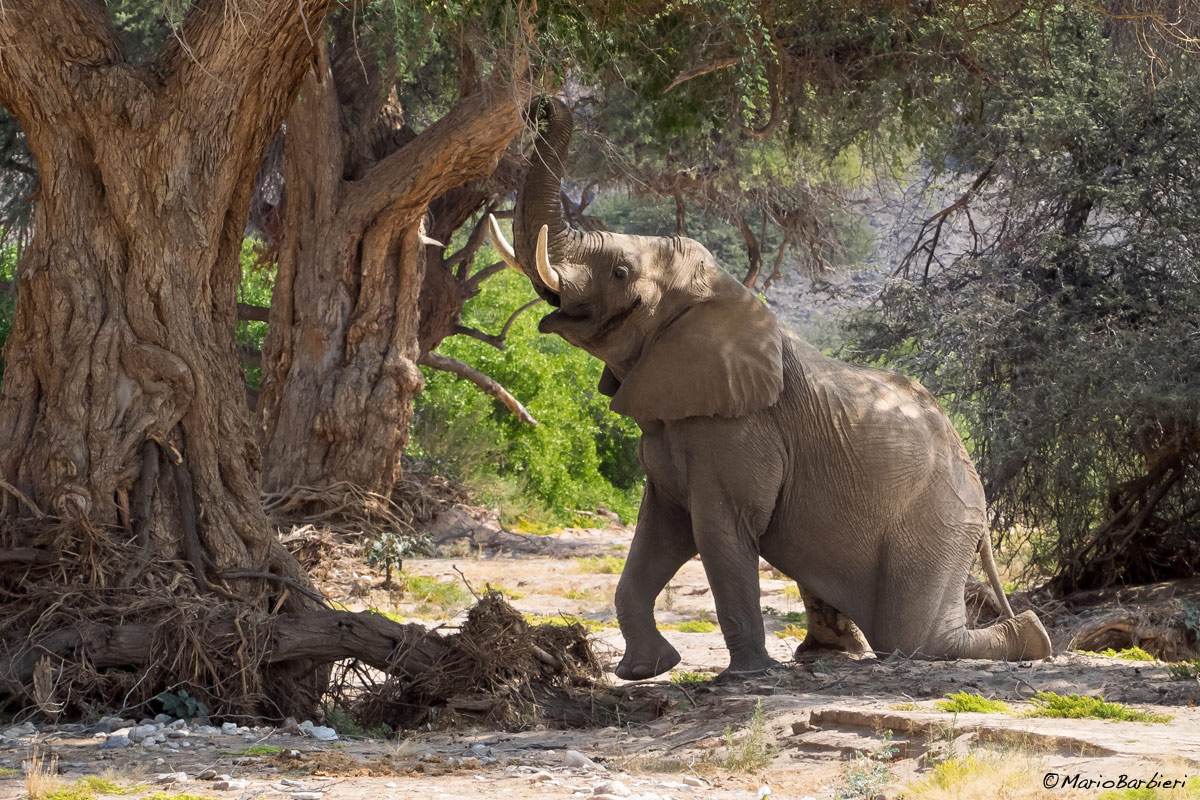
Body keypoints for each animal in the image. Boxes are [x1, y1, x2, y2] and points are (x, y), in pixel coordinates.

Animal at [489, 97, 1053, 681]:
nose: (543, 103)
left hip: (939, 515)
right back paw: (827, 655)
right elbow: (661, 531)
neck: (717, 294)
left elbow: (719, 529)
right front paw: (644, 671)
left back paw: (1035, 638)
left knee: (915, 635)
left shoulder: (740, 431)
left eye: (621, 273)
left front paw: (746, 676)